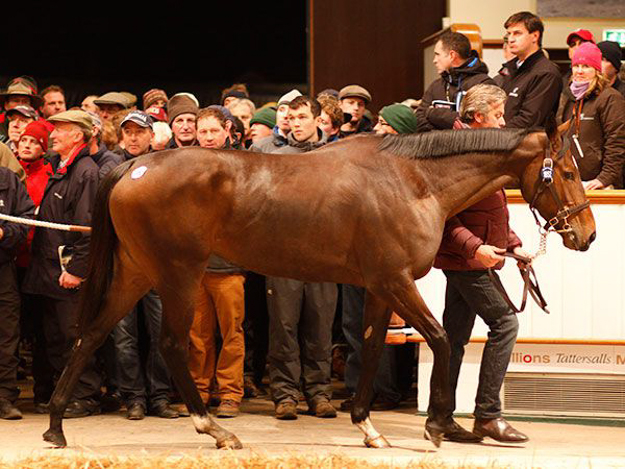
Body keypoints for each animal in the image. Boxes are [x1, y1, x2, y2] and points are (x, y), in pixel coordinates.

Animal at [44, 122, 596, 448]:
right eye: (568, 171)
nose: (586, 234)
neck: (410, 179)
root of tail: (134, 164)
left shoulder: (379, 288)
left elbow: (370, 349)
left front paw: (368, 426)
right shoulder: (396, 281)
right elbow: (440, 341)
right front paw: (437, 425)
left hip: (136, 273)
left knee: (89, 335)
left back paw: (55, 427)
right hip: (178, 275)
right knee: (173, 345)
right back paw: (215, 429)